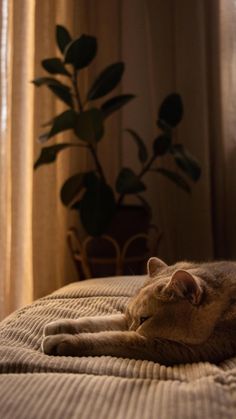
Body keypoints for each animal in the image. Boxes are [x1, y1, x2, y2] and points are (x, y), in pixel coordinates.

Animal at [41, 258, 236, 366]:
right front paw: (59, 325)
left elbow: (114, 339)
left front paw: (61, 340)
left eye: (144, 320)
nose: (132, 329)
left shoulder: (177, 348)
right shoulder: (126, 320)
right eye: (135, 319)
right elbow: (96, 321)